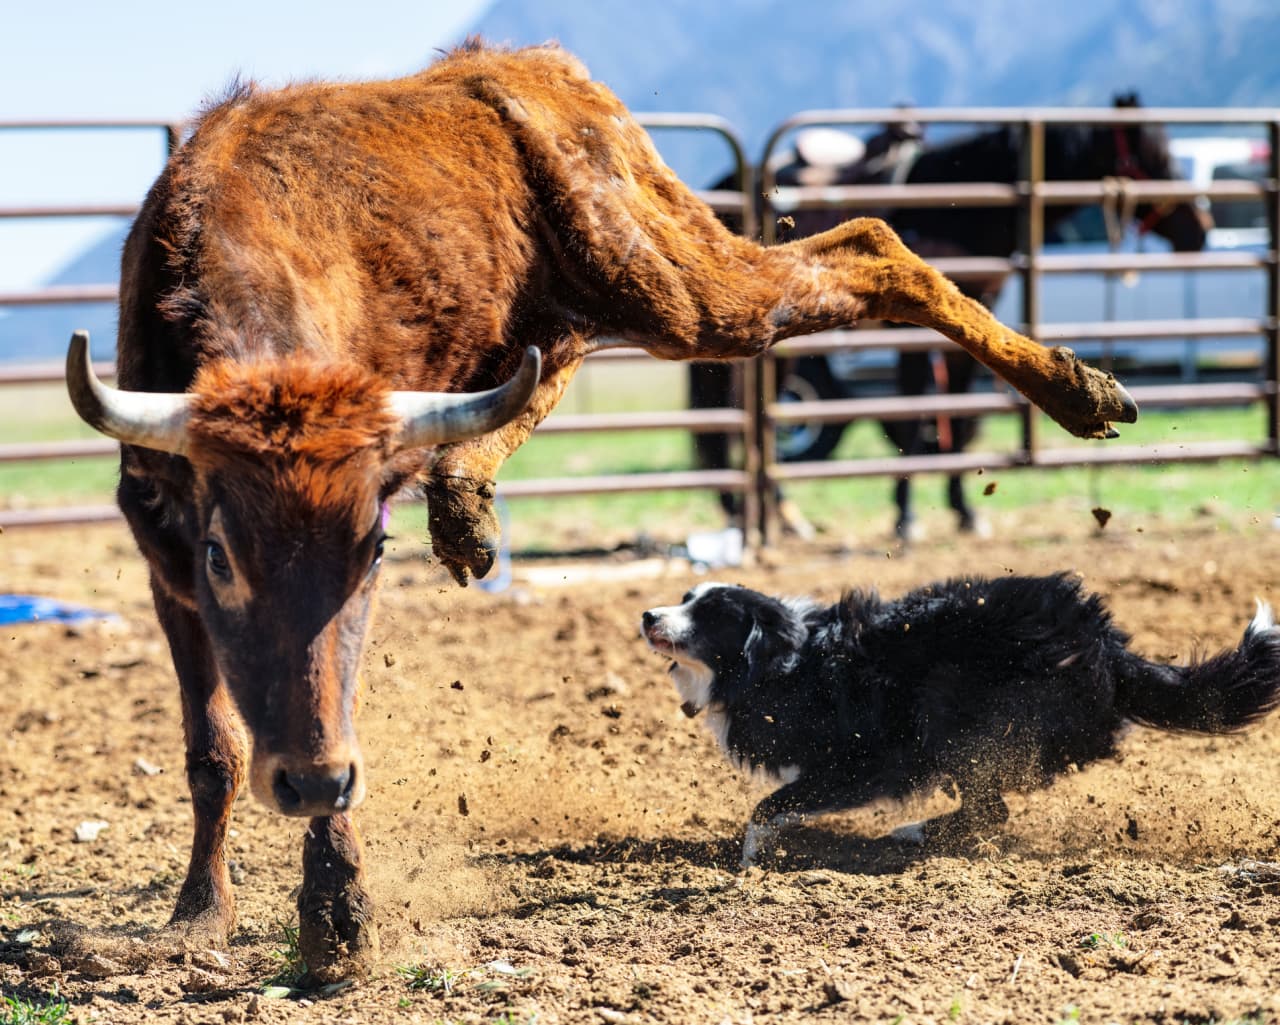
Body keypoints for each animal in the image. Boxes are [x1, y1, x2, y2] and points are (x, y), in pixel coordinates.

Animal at [645, 575, 1280, 865]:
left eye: (710, 614)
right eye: (685, 597)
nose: (648, 614)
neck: (787, 659)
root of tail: (1104, 643)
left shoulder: (864, 762)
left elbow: (769, 806)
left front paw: (751, 857)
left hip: (951, 714)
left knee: (990, 810)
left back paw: (910, 833)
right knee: (990, 809)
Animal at [696, 97, 1203, 534]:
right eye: (1157, 157)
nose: (1199, 230)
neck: (957, 211)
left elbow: (956, 420)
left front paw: (963, 511)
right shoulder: (908, 337)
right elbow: (913, 418)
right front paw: (906, 519)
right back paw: (773, 516)